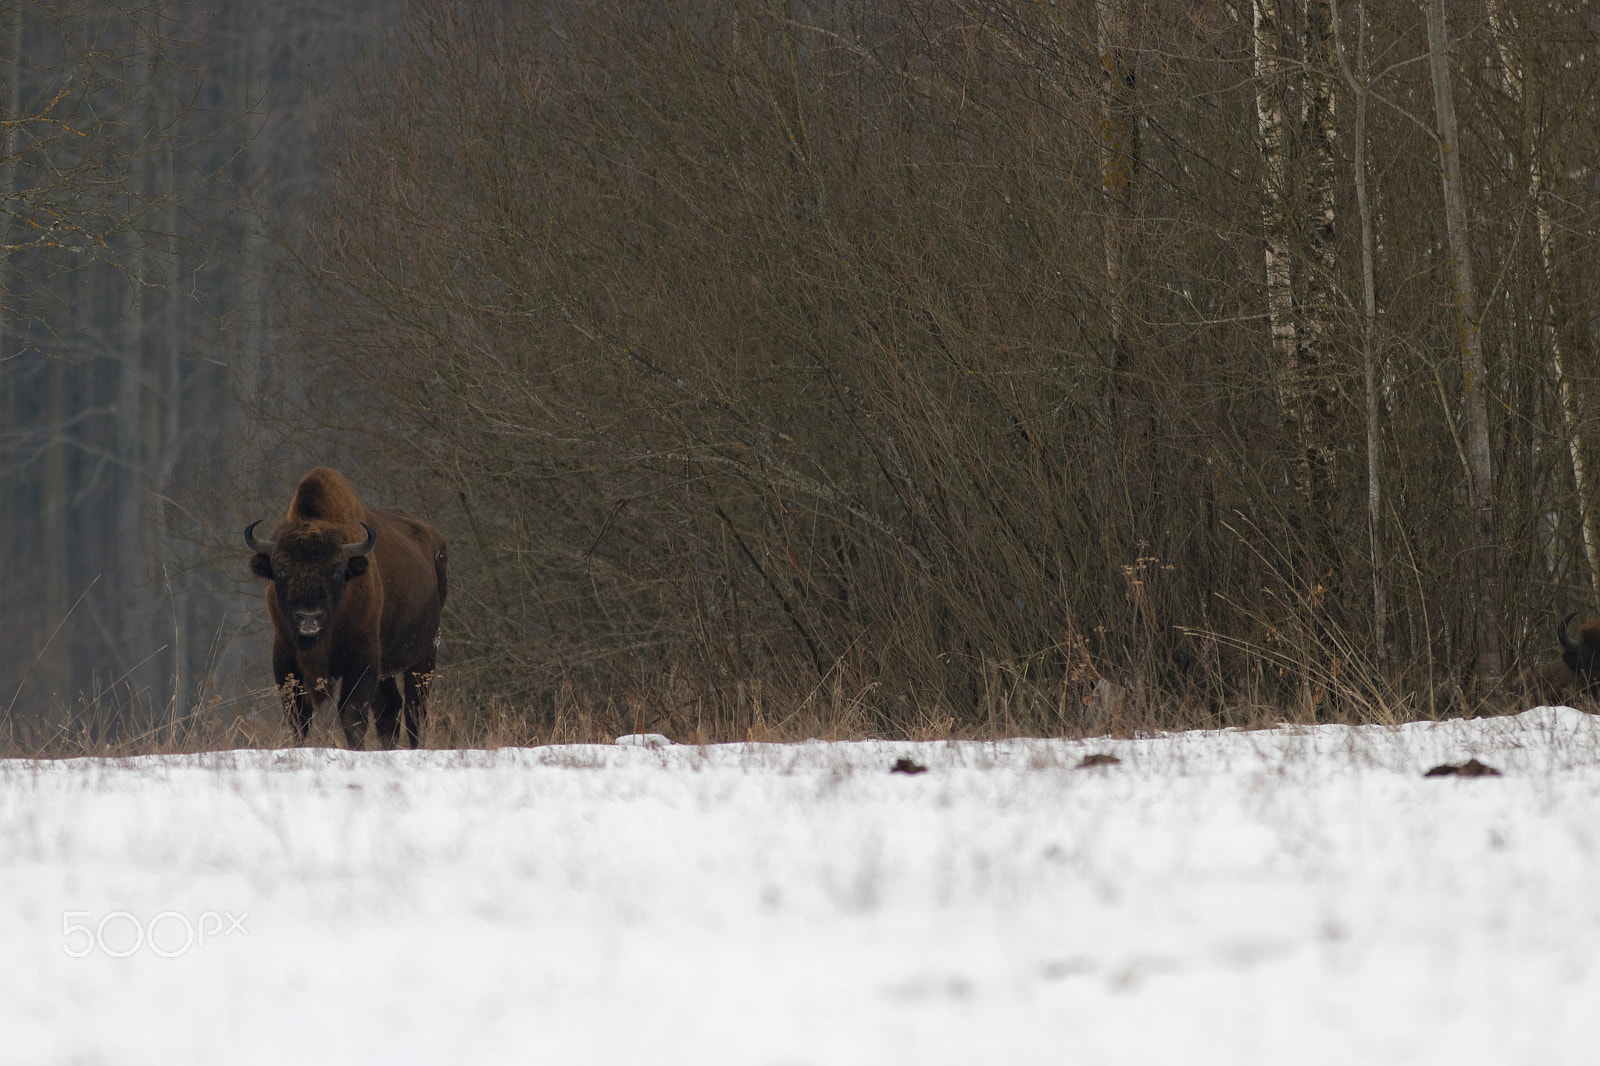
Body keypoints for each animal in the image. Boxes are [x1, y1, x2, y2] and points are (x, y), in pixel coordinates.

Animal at [243, 464, 448, 745]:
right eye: (281, 569)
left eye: (338, 569)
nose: (309, 618)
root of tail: (435, 538)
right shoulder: (285, 659)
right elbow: (298, 719)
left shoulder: (361, 660)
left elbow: (352, 716)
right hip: (388, 665)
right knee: (390, 708)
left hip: (424, 655)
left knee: (415, 709)